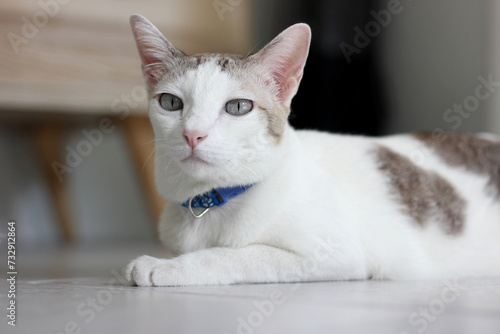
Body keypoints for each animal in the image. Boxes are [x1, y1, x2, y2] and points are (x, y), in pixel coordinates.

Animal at [124, 14, 500, 286]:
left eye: (238, 107)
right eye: (171, 103)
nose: (193, 134)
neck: (211, 200)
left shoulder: (337, 255)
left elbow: (237, 254)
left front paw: (165, 266)